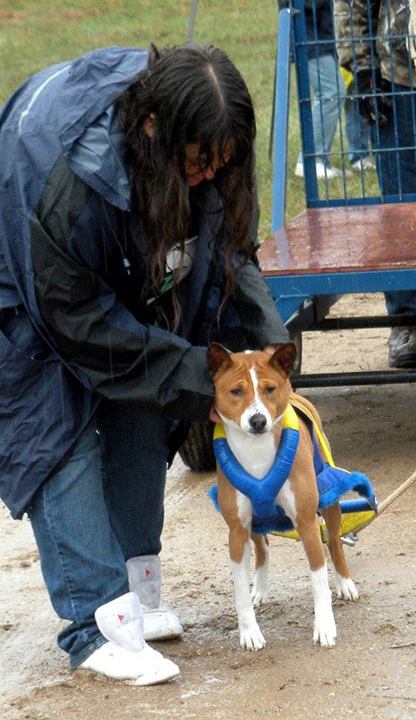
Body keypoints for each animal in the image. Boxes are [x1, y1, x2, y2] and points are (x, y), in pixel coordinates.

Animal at [208, 344, 358, 652]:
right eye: (236, 391)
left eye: (269, 389)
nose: (258, 420)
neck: (256, 453)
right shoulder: (237, 530)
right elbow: (239, 591)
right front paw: (249, 632)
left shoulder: (307, 523)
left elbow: (319, 582)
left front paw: (325, 627)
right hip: (254, 524)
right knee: (262, 547)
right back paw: (260, 588)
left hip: (329, 497)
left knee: (335, 542)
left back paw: (345, 583)